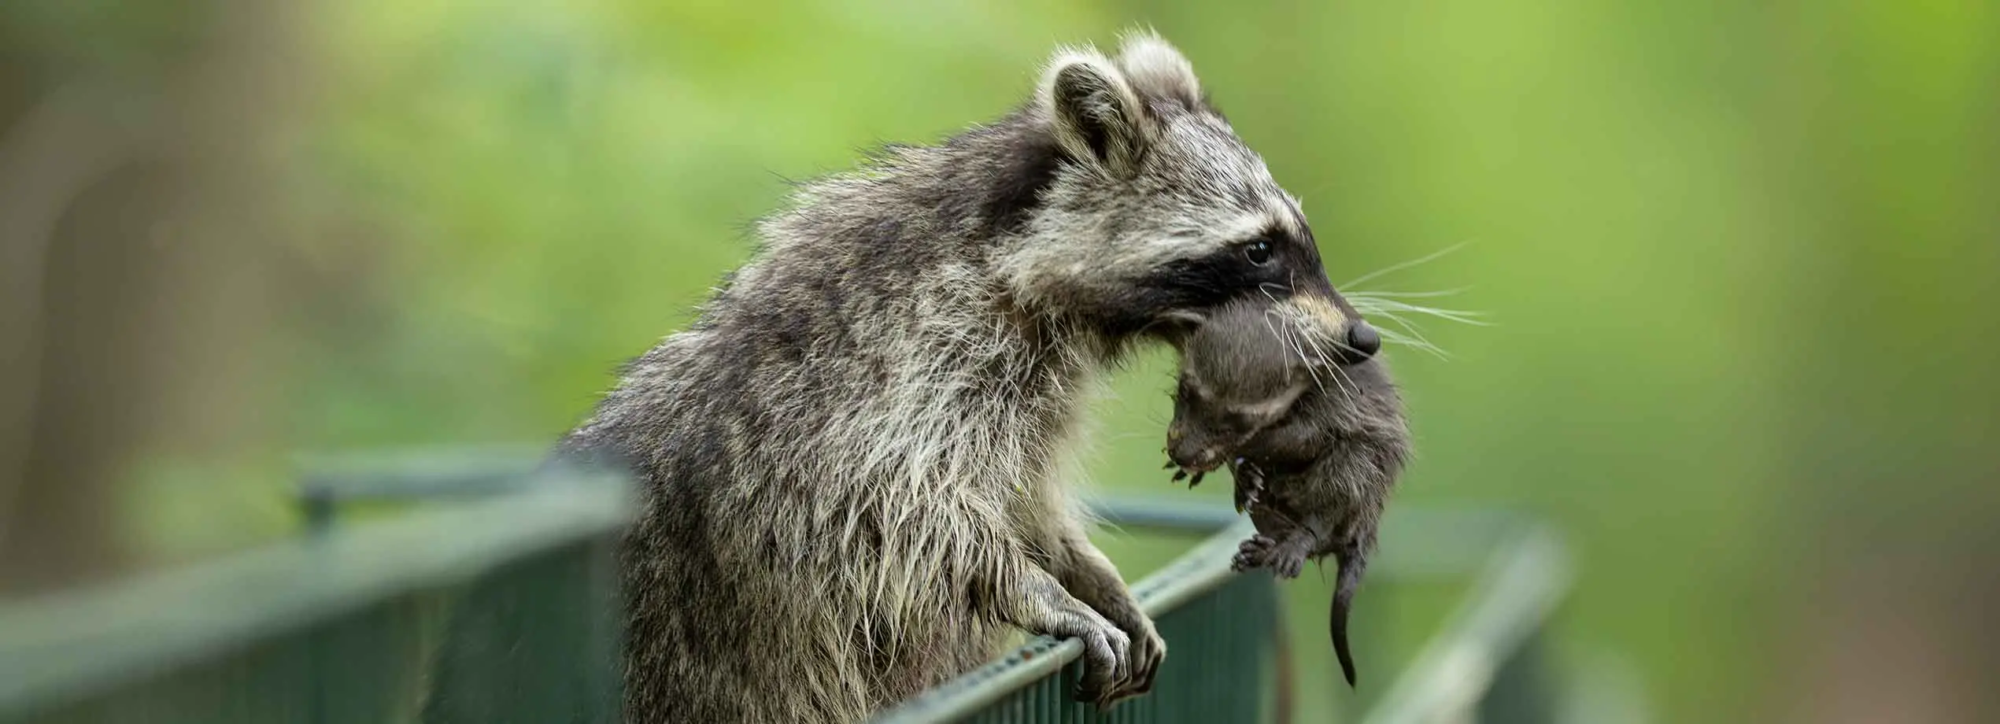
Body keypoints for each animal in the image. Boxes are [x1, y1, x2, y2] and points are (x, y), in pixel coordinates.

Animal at [1168, 296, 1416, 688]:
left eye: (1237, 421)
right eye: (1184, 391)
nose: (1182, 453)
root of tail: (1366, 526)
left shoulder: (1336, 403)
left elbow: (1303, 439)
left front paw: (1241, 453)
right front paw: (1239, 469)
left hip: (1367, 476)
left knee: (1347, 473)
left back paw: (1305, 536)